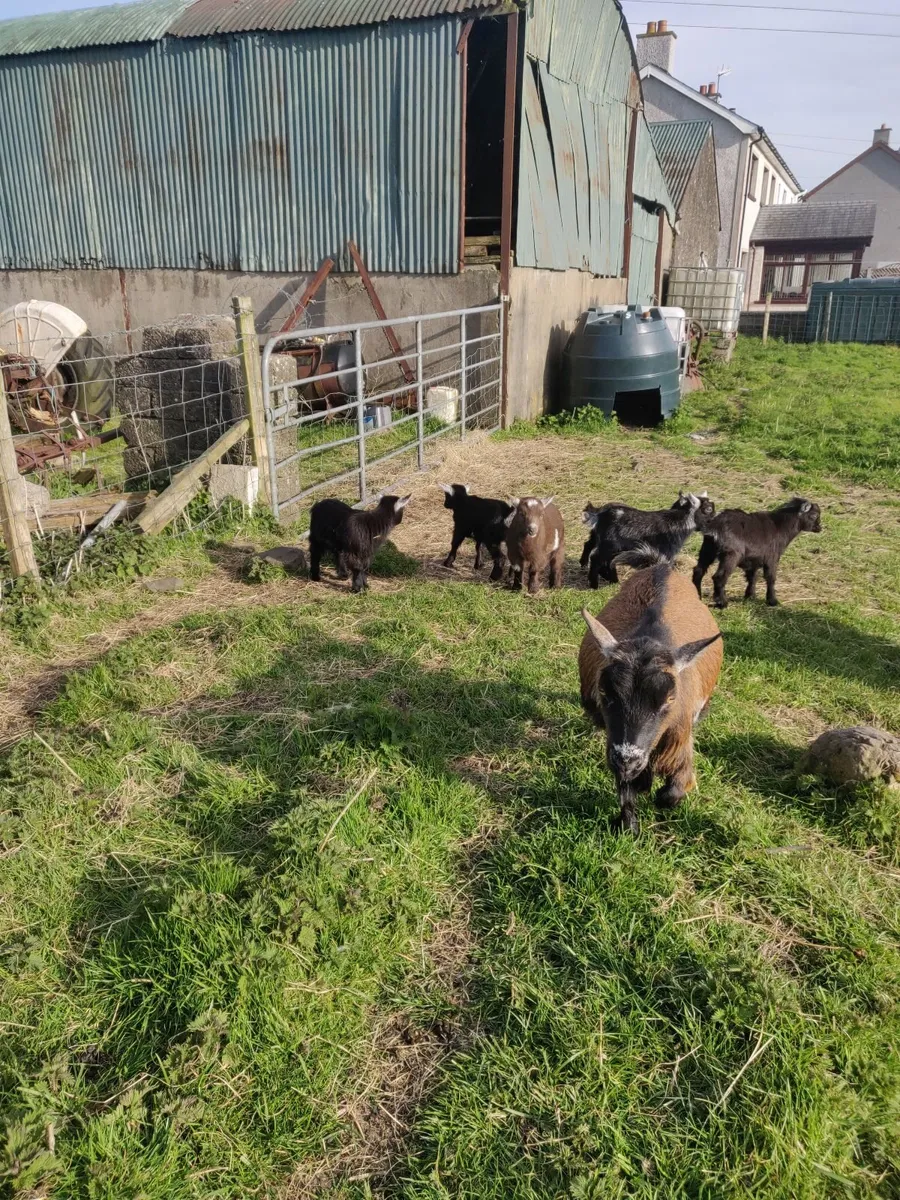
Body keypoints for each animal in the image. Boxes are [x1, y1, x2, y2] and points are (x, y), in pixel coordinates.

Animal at [579, 563, 723, 834]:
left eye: (670, 699)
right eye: (603, 691)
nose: (628, 760)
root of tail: (662, 565)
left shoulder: (679, 735)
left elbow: (672, 792)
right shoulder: (616, 746)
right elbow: (627, 791)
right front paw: (629, 825)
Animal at [580, 491, 715, 588]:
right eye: (708, 509)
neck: (678, 520)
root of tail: (601, 514)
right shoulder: (666, 553)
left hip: (602, 540)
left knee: (591, 547)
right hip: (610, 545)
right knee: (597, 558)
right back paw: (594, 584)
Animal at [692, 497, 822, 609]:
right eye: (814, 515)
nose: (819, 528)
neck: (780, 527)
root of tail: (714, 528)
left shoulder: (753, 559)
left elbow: (753, 577)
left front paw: (750, 596)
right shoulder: (772, 558)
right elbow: (770, 578)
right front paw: (772, 601)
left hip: (707, 549)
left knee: (698, 571)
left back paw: (698, 596)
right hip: (731, 555)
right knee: (719, 577)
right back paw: (722, 603)